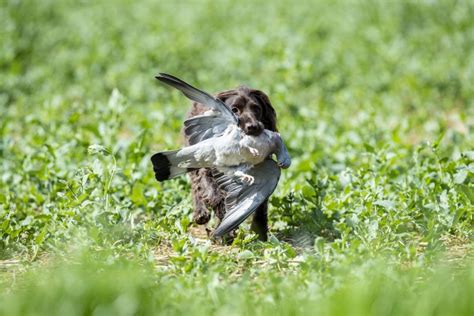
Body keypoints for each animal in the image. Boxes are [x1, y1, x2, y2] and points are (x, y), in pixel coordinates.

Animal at [183, 85, 276, 241]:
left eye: (256, 109)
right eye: (234, 109)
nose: (253, 127)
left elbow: (261, 203)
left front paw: (260, 233)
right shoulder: (207, 170)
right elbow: (213, 193)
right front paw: (224, 230)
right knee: (196, 186)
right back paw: (201, 213)